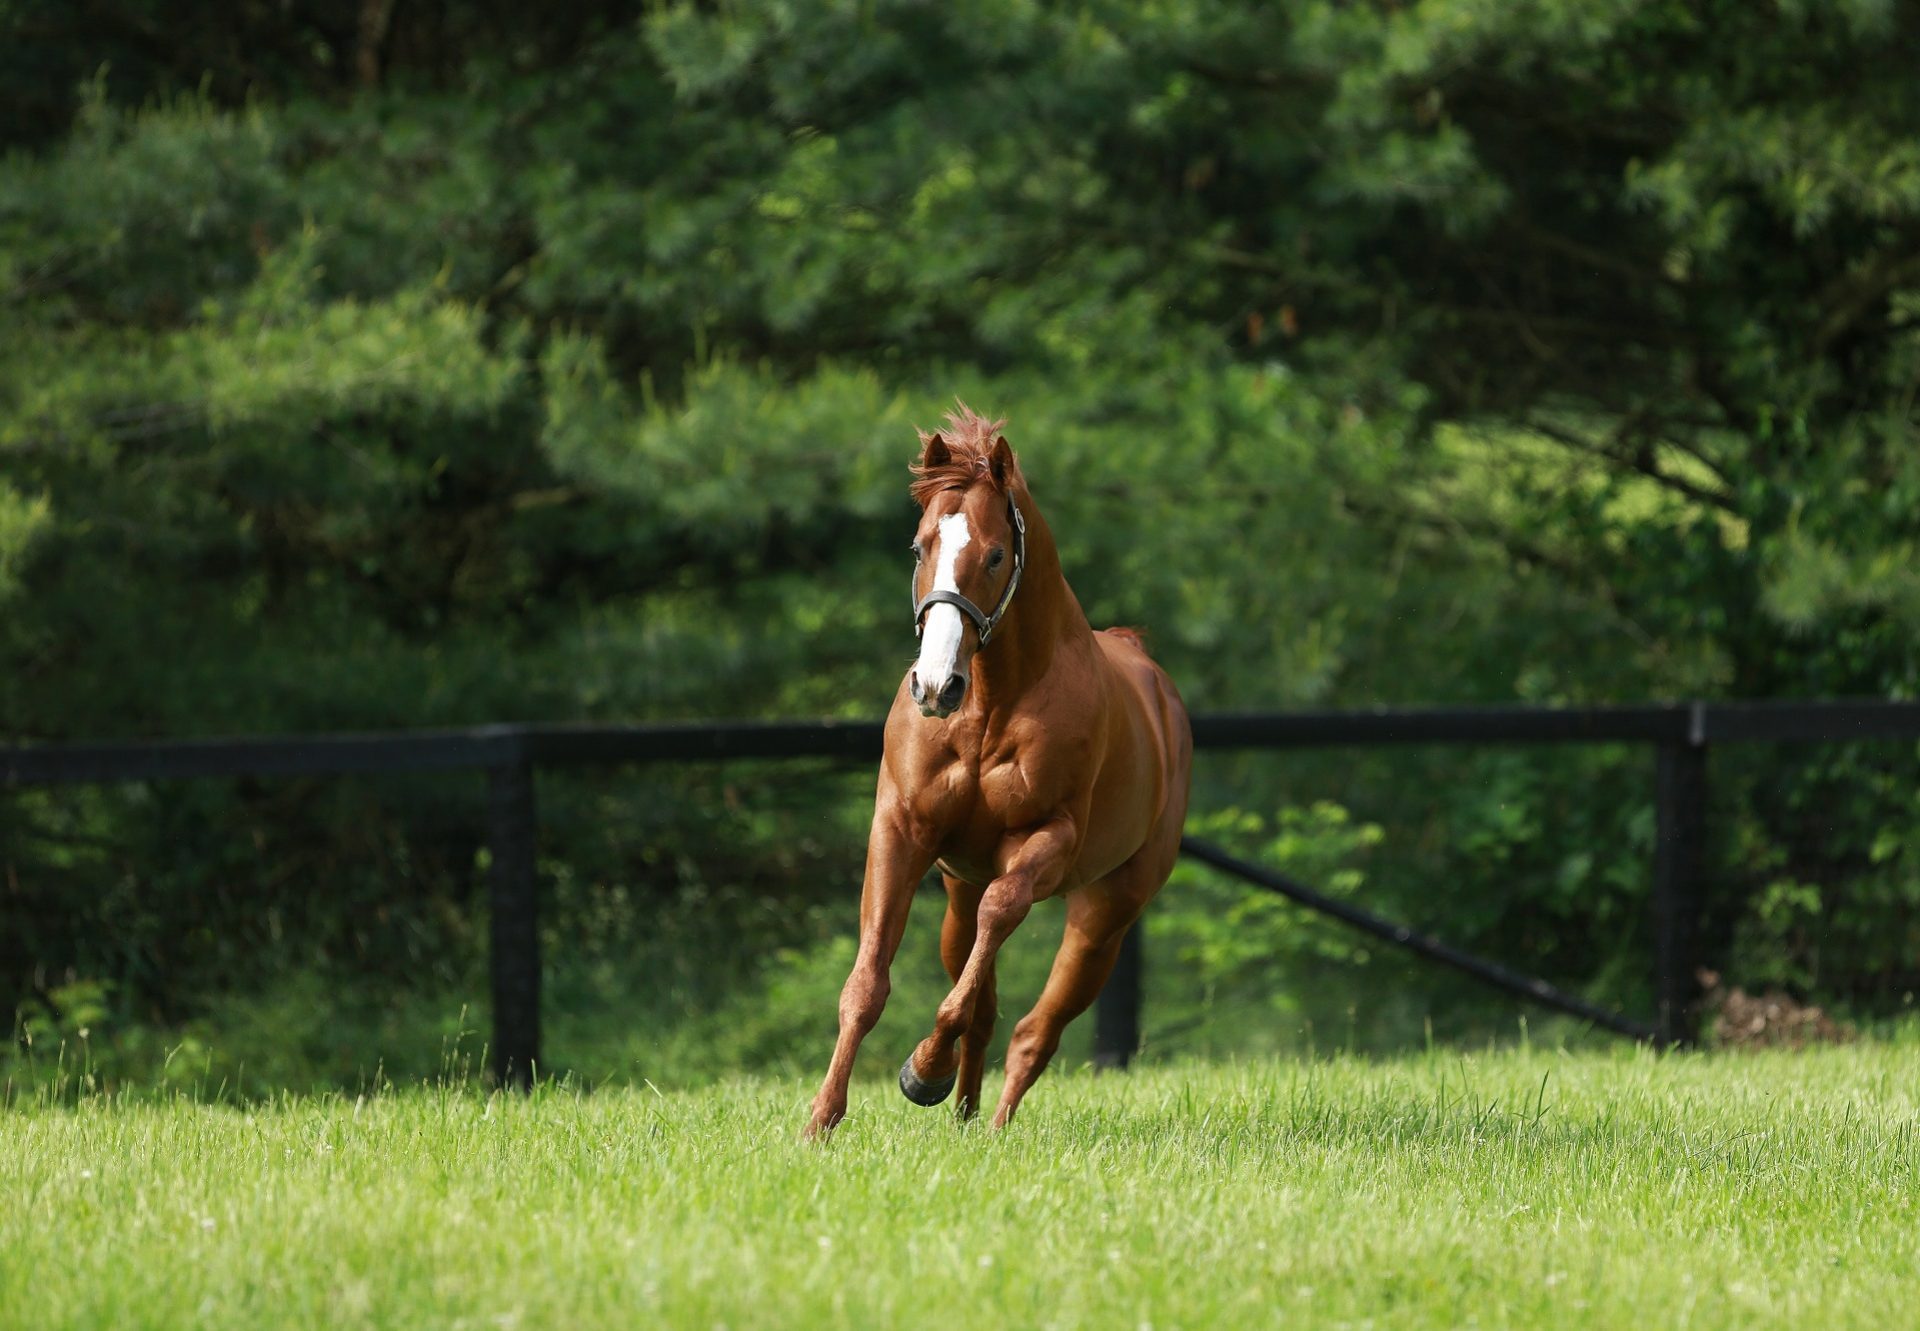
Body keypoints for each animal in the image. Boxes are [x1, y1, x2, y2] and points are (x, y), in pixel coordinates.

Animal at [802, 405, 1190, 1129]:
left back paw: (992, 1122)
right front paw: (821, 1120)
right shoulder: (900, 832)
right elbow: (868, 983)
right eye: (919, 547)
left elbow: (994, 933)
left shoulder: (1048, 840)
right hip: (958, 892)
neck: (988, 705)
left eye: (994, 554)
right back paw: (963, 1110)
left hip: (1106, 912)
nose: (934, 686)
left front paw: (921, 1070)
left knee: (1035, 1029)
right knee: (984, 998)